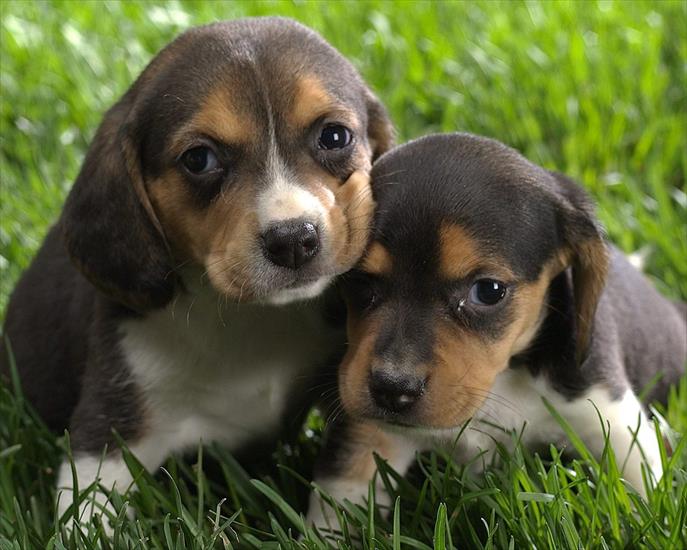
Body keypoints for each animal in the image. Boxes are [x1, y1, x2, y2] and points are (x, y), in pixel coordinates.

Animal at [0, 17, 396, 528]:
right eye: (199, 159)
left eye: (334, 137)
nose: (294, 240)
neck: (251, 316)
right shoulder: (111, 427)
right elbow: (88, 514)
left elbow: (347, 477)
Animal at [310, 133, 684, 528]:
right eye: (359, 280)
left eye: (488, 291)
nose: (392, 389)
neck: (501, 379)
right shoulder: (368, 432)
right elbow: (338, 498)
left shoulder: (612, 417)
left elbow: (640, 489)